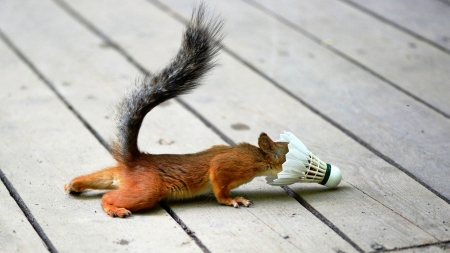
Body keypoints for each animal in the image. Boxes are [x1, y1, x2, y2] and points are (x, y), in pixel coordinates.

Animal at [63, 3, 288, 217]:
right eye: (288, 151)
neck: (258, 157)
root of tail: (135, 160)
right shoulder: (229, 165)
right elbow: (219, 186)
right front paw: (232, 199)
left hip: (120, 176)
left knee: (102, 177)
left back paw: (73, 184)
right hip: (148, 189)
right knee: (108, 196)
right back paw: (114, 209)